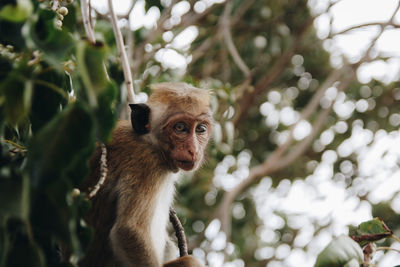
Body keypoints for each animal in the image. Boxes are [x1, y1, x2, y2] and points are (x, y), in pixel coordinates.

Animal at [79, 82, 214, 266]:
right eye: (180, 128)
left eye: (200, 129)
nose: (193, 150)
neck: (151, 142)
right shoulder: (148, 166)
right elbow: (129, 230)